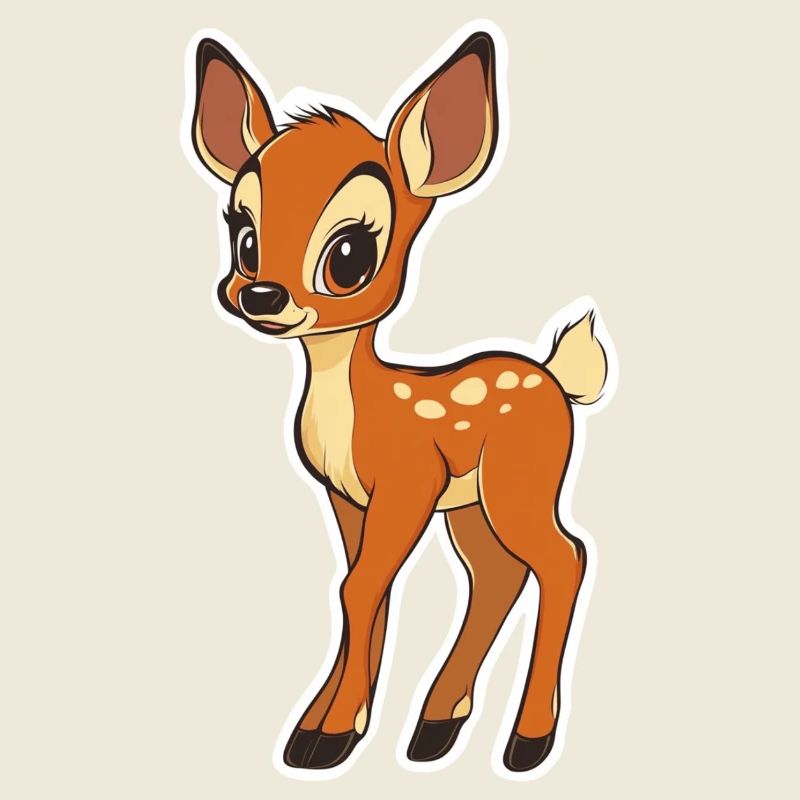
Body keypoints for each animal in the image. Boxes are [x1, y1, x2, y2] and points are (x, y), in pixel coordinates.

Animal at [187, 28, 609, 774]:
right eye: (243, 234)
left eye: (351, 254)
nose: (259, 295)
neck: (358, 408)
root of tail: (556, 379)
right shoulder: (348, 496)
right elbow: (361, 590)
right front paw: (321, 729)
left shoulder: (408, 483)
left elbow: (360, 588)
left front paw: (330, 736)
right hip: (472, 503)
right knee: (496, 575)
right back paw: (437, 725)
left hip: (520, 482)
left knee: (564, 558)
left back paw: (527, 742)